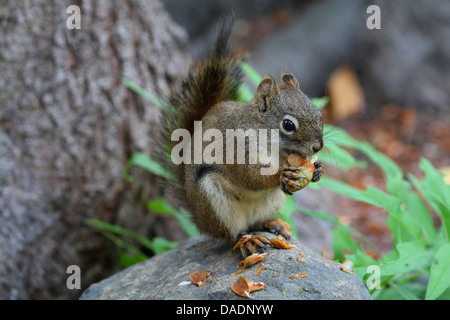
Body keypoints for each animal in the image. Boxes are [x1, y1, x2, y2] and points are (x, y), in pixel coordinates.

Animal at [158, 22, 324, 256]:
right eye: (288, 125)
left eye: (318, 112)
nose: (318, 146)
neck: (274, 148)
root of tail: (200, 220)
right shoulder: (236, 147)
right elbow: (249, 176)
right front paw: (281, 174)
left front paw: (318, 169)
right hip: (213, 201)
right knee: (233, 233)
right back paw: (247, 241)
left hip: (271, 201)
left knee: (255, 222)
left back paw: (273, 223)